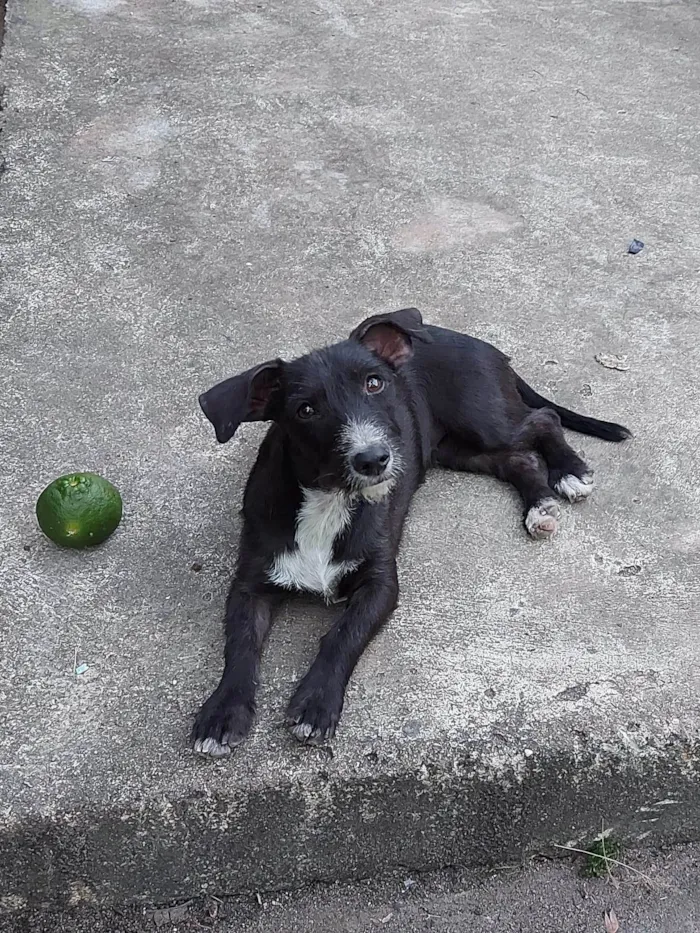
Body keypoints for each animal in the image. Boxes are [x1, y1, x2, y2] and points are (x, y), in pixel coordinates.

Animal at [191, 310, 628, 752]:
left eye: (374, 383)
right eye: (305, 409)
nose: (374, 459)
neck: (330, 500)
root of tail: (466, 339)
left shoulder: (381, 583)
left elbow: (343, 635)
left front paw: (317, 703)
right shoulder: (250, 583)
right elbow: (240, 644)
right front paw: (223, 712)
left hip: (483, 419)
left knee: (543, 420)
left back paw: (569, 471)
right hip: (452, 449)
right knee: (516, 460)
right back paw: (539, 506)